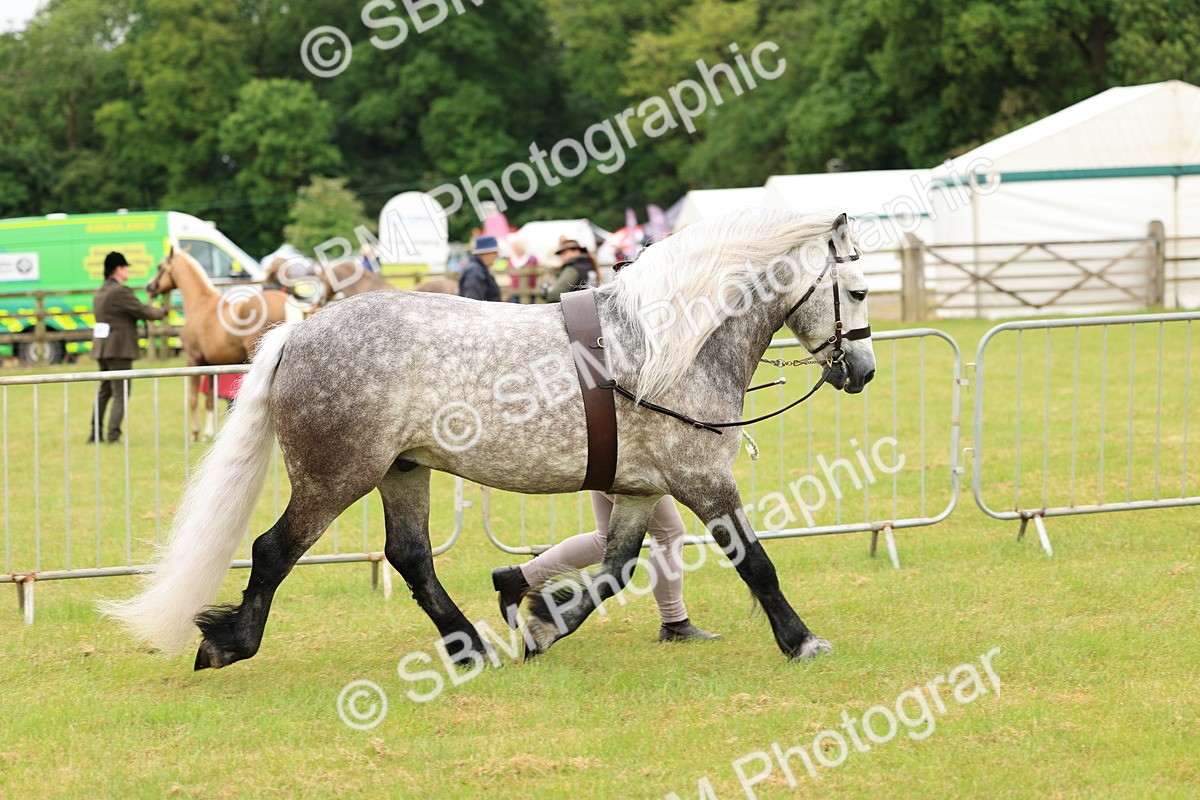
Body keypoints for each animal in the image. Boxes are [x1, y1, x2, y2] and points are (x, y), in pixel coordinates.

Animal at [146, 247, 291, 441]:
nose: (150, 287)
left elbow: (192, 399)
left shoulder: (194, 361)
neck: (200, 304)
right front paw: (208, 434)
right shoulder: (212, 365)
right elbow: (209, 401)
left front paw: (195, 433)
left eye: (160, 266)